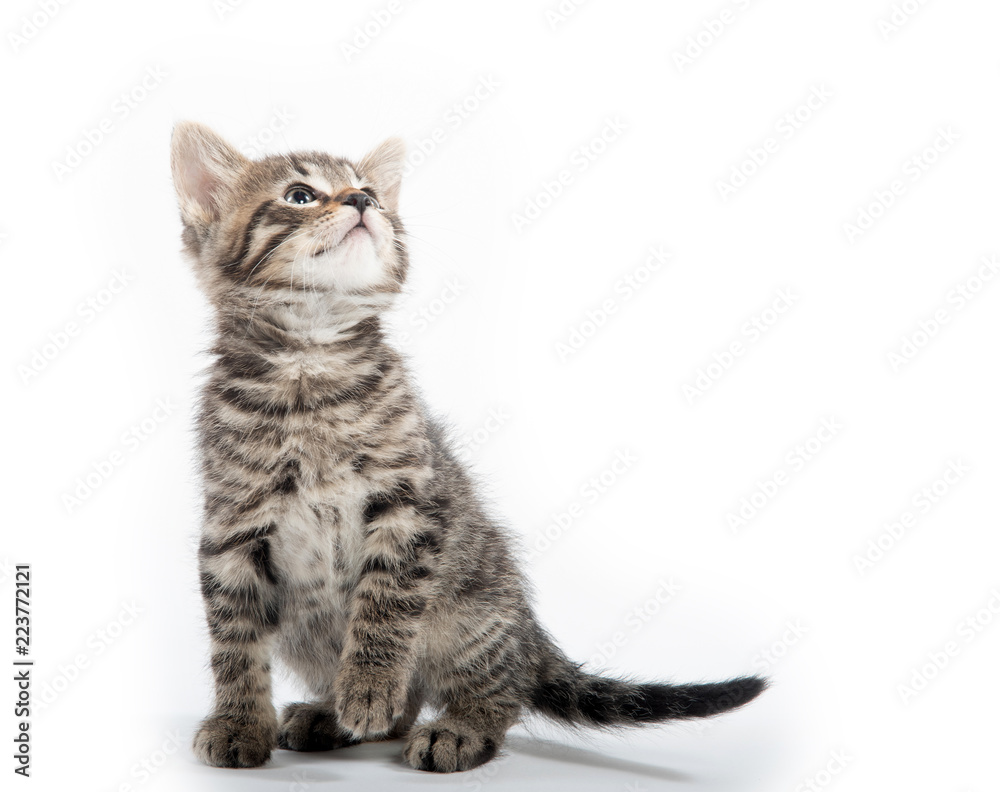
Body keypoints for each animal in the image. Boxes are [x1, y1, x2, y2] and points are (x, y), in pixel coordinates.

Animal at [172, 122, 764, 772]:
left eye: (371, 190)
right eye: (300, 195)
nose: (362, 202)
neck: (312, 365)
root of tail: (528, 633)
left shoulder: (411, 504)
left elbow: (384, 606)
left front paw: (371, 685)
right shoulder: (232, 530)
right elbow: (235, 641)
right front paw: (239, 722)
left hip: (472, 615)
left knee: (497, 690)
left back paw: (454, 727)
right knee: (404, 703)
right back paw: (332, 715)